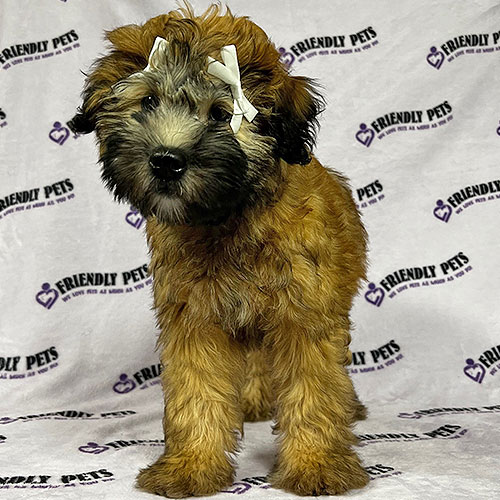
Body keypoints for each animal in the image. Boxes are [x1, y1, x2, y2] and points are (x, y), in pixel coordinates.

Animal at [69, 2, 368, 496]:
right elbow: (196, 390)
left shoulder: (305, 314)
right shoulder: (194, 317)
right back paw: (253, 400)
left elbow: (315, 389)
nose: (166, 161)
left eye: (220, 114)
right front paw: (191, 465)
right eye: (148, 102)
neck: (227, 219)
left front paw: (317, 464)